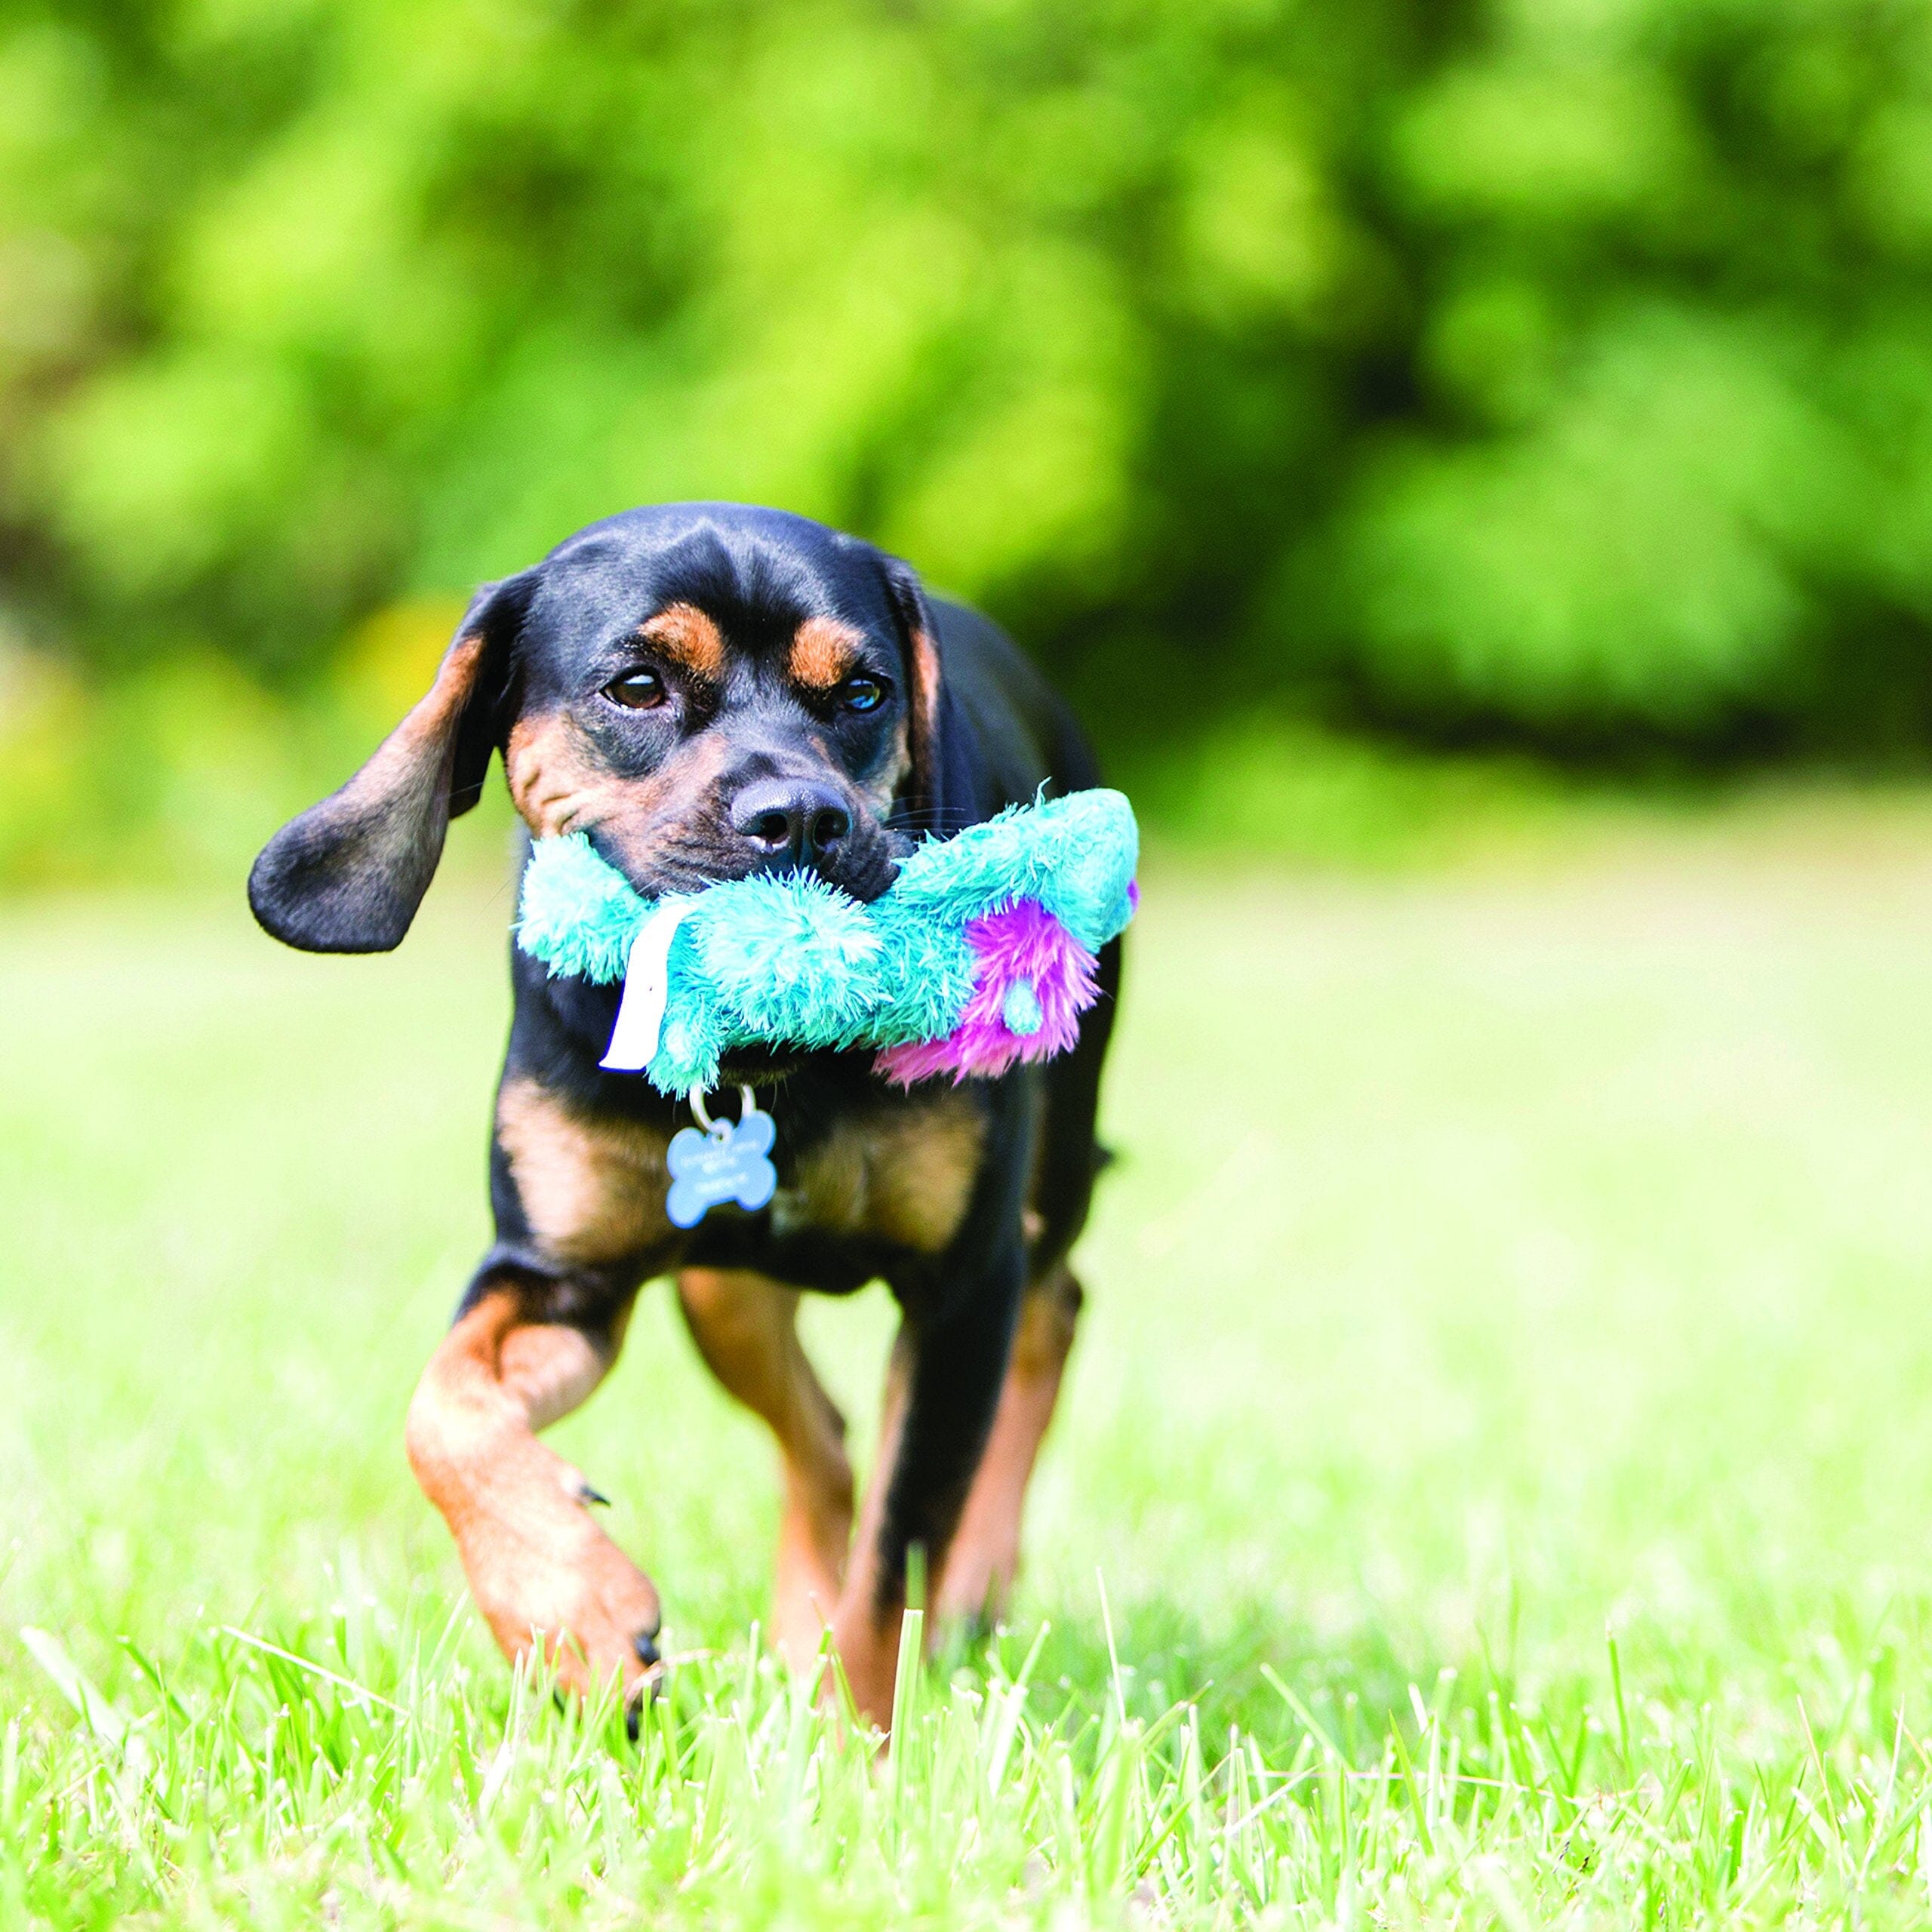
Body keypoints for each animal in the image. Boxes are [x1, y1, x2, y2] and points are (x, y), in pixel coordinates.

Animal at [245, 506, 1120, 1730]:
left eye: (865, 692)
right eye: (638, 686)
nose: (798, 815)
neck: (769, 1060)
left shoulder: (961, 1284)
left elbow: (895, 1564)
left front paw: (856, 1752)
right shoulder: (562, 1274)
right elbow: (443, 1411)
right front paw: (571, 1613)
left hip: (1050, 1172)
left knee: (1051, 1315)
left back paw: (973, 1583)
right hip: (720, 1287)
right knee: (825, 1440)